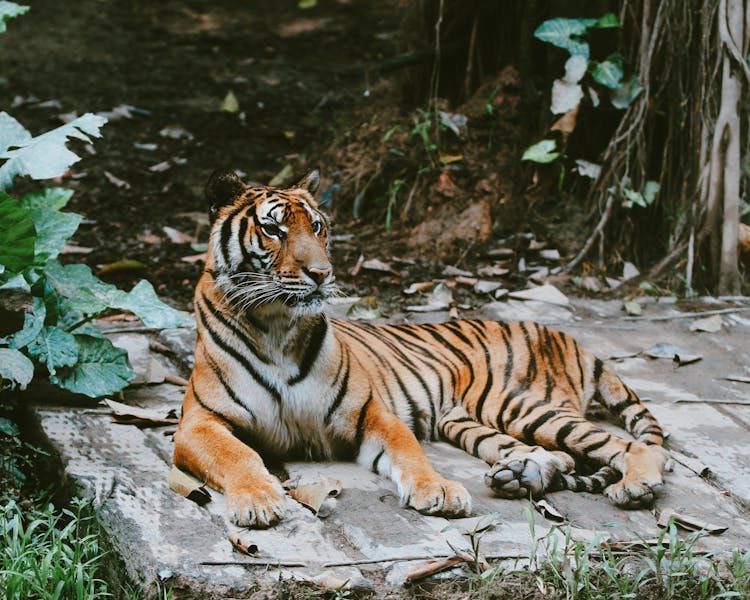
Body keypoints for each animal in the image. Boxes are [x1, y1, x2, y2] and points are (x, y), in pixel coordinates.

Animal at [175, 169, 668, 524]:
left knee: (632, 447)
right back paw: (520, 475)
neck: (276, 324)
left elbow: (408, 449)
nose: (321, 273)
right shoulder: (199, 423)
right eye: (273, 230)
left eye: (317, 228)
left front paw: (439, 491)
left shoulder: (371, 411)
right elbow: (238, 455)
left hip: (518, 404)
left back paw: (634, 486)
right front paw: (258, 498)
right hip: (471, 421)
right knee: (565, 455)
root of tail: (564, 335)